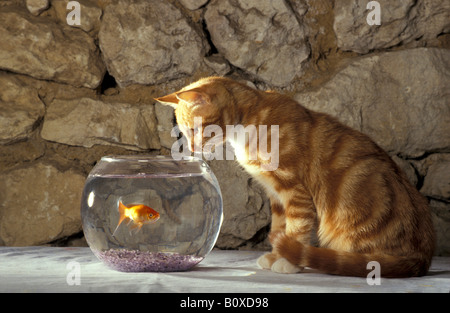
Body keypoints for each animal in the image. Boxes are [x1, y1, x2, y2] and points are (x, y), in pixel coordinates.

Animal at [156, 77, 434, 276]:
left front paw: (289, 262)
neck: (248, 124)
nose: (192, 150)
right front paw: (277, 254)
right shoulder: (276, 194)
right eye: (184, 132)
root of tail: (422, 256)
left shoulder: (294, 190)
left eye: (194, 129)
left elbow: (297, 228)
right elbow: (281, 227)